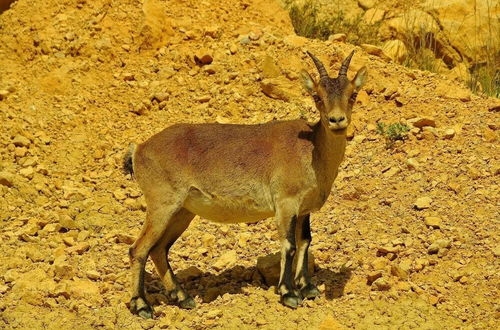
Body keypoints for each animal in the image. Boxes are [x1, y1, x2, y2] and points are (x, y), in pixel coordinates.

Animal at [124, 51, 368, 318]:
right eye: (317, 96)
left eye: (352, 94)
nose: (337, 120)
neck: (312, 149)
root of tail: (139, 149)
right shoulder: (286, 203)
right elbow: (289, 244)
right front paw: (289, 293)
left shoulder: (303, 209)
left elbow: (305, 241)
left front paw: (308, 288)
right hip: (162, 204)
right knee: (138, 249)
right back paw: (142, 305)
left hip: (182, 212)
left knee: (158, 249)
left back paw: (182, 297)